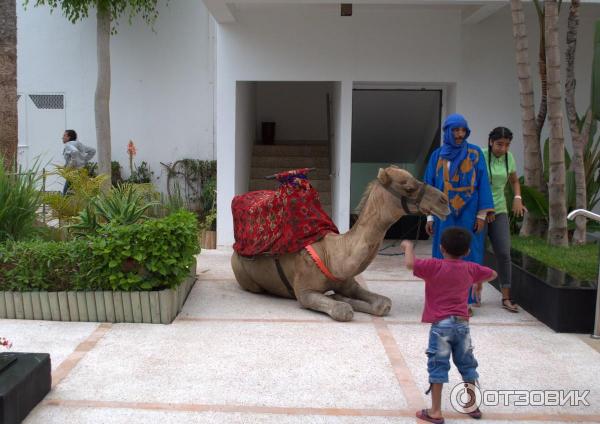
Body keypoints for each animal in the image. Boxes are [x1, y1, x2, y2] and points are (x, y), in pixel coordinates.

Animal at [232, 166, 448, 322]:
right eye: (408, 187)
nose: (444, 200)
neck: (332, 254)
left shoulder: (348, 283)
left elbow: (383, 304)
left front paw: (340, 297)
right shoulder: (304, 292)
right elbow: (343, 310)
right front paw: (339, 300)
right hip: (246, 278)